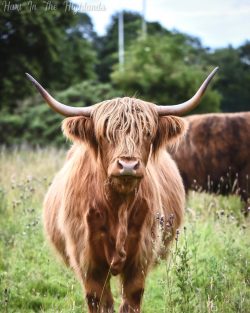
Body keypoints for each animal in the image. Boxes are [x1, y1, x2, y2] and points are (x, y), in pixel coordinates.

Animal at [25, 67, 217, 310]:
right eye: (104, 134)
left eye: (147, 133)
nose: (128, 165)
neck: (118, 205)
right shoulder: (89, 263)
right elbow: (99, 301)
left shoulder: (140, 259)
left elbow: (131, 300)